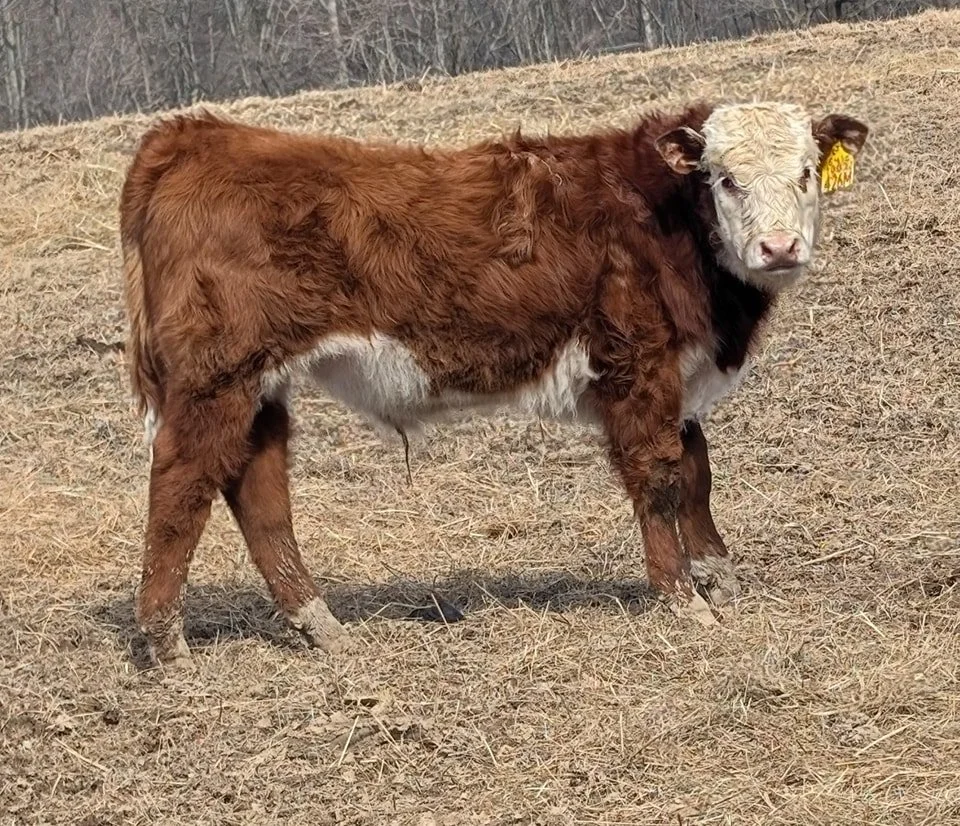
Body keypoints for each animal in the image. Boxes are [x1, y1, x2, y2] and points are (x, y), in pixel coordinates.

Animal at [120, 101, 868, 668]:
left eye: (806, 172)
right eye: (726, 179)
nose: (779, 248)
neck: (659, 217)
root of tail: (193, 135)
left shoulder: (680, 383)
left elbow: (697, 473)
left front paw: (720, 582)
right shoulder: (639, 368)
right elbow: (658, 479)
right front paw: (683, 602)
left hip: (261, 387)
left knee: (259, 491)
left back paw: (321, 626)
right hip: (216, 378)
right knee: (181, 483)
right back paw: (166, 645)